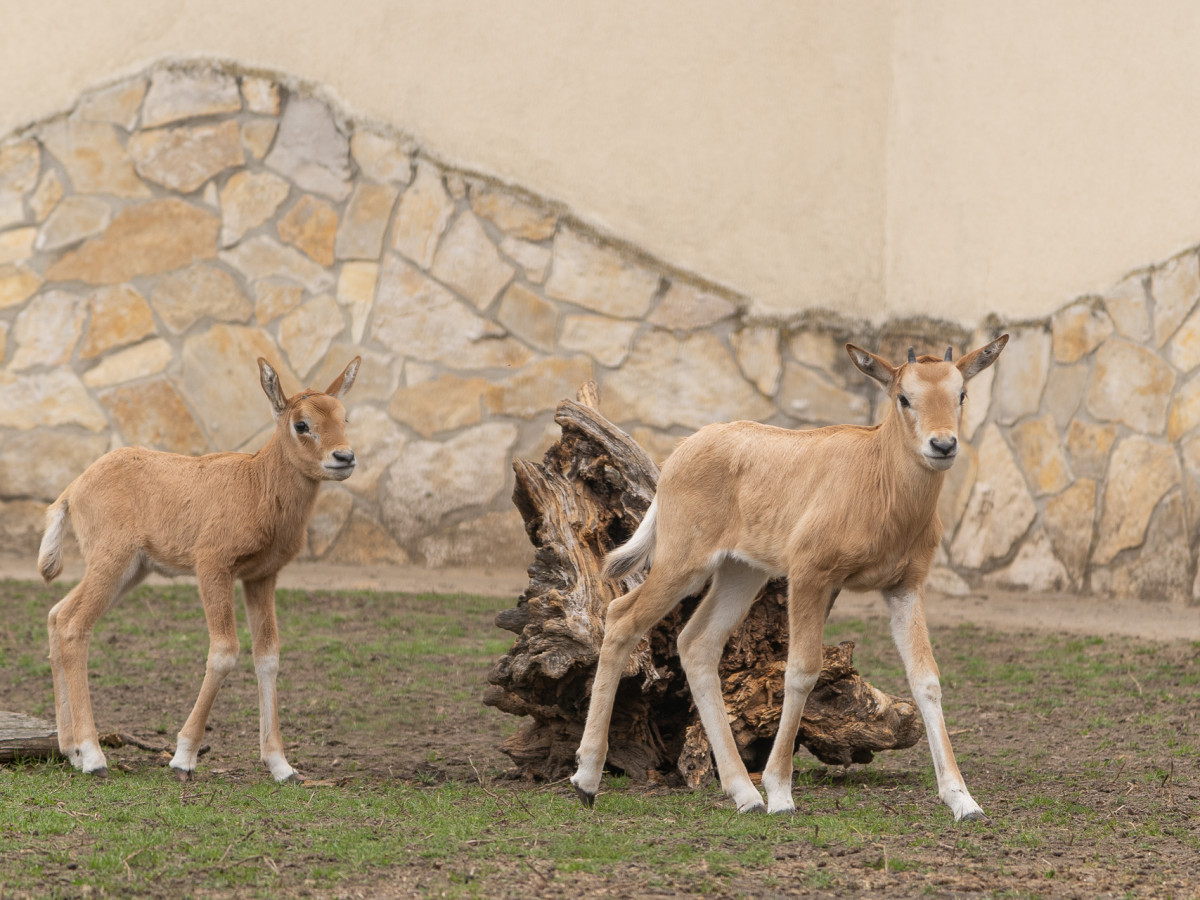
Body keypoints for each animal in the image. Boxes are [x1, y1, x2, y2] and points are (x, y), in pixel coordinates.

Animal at [41, 360, 360, 782]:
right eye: (302, 423)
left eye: (344, 416)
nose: (344, 457)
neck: (256, 484)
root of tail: (73, 489)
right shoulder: (213, 567)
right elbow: (224, 651)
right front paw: (183, 756)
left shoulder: (261, 577)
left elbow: (268, 656)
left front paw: (281, 765)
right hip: (111, 561)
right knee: (75, 626)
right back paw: (94, 757)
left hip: (131, 571)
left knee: (57, 614)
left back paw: (72, 750)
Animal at [566, 336, 1008, 820]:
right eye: (904, 397)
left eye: (960, 394)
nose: (942, 445)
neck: (879, 479)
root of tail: (683, 451)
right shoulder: (810, 575)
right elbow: (800, 671)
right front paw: (780, 792)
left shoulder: (904, 586)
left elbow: (926, 678)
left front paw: (963, 800)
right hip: (683, 564)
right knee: (621, 616)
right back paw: (586, 778)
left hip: (741, 572)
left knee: (697, 643)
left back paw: (744, 793)